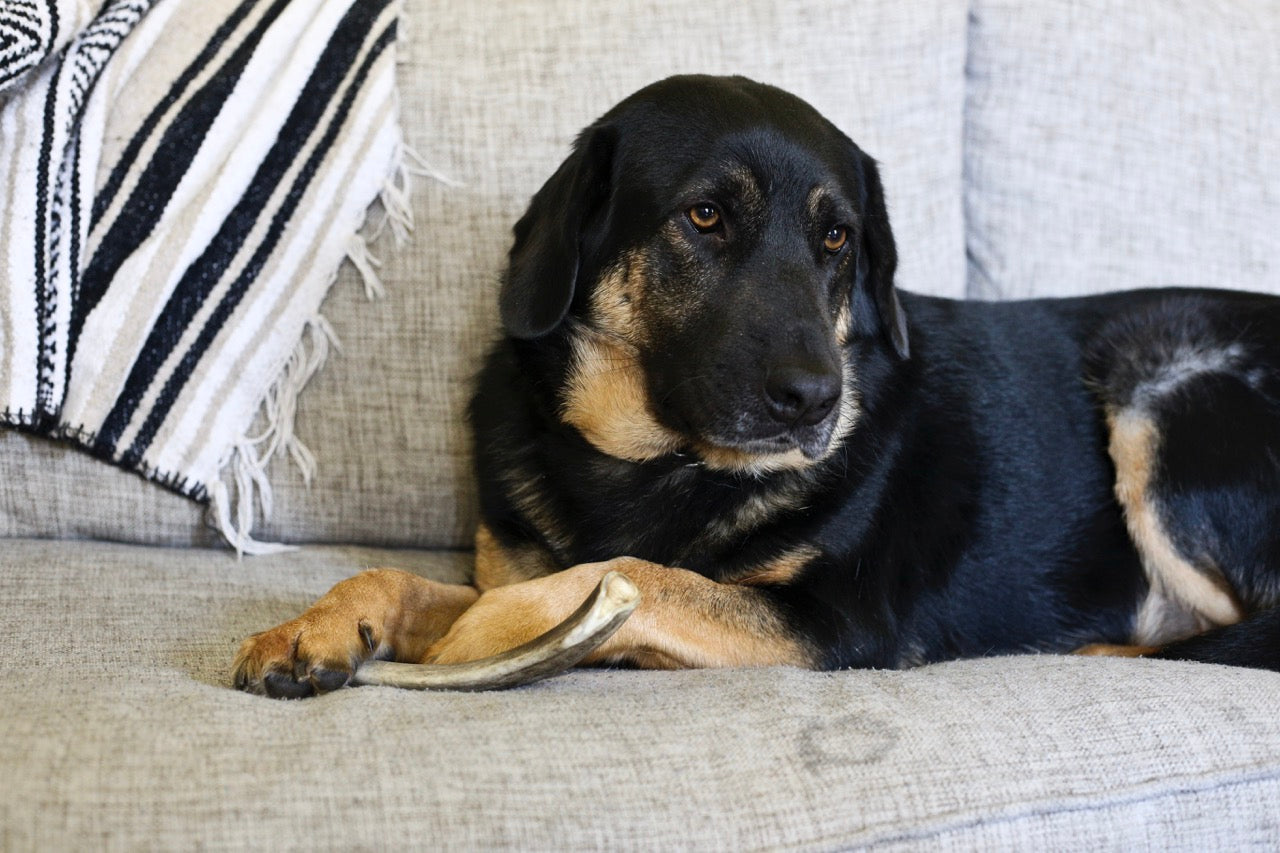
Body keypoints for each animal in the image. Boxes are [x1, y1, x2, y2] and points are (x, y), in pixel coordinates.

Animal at [232, 74, 1280, 696]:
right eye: (704, 217)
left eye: (838, 238)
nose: (818, 400)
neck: (649, 461)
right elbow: (402, 575)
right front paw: (316, 626)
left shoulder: (838, 623)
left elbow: (635, 577)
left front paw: (491, 631)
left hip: (1170, 386)